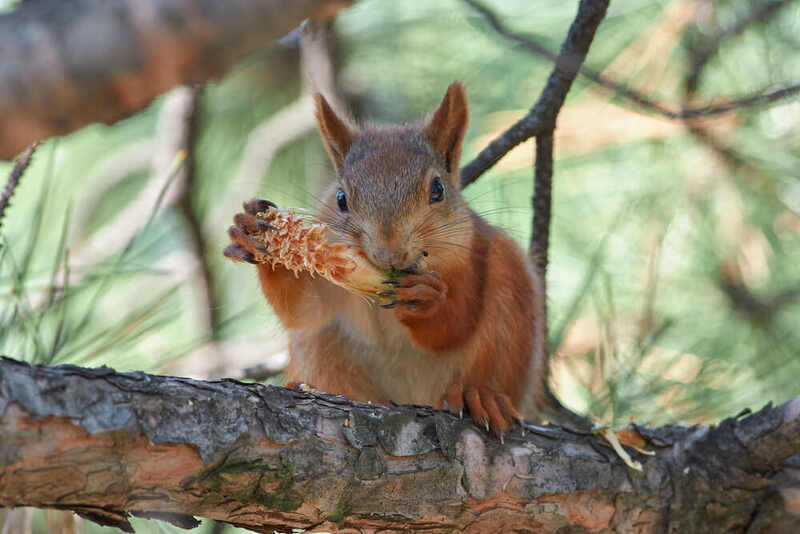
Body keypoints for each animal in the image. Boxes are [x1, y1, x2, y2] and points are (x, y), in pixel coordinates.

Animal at [225, 82, 588, 436]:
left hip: (510, 296)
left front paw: (425, 298)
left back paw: (482, 397)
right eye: (340, 198)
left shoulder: (468, 256)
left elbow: (456, 323)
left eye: (438, 189)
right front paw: (258, 236)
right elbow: (304, 311)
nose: (390, 254)